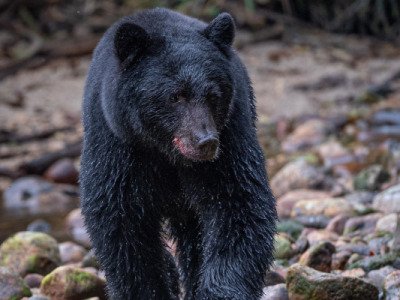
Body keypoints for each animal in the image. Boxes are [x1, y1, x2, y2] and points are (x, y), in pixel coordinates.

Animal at [79, 7, 276, 300]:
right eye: (175, 96)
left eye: (213, 95)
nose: (205, 142)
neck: (167, 154)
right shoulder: (117, 143)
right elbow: (120, 219)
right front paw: (148, 290)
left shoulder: (230, 135)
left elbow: (239, 202)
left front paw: (219, 291)